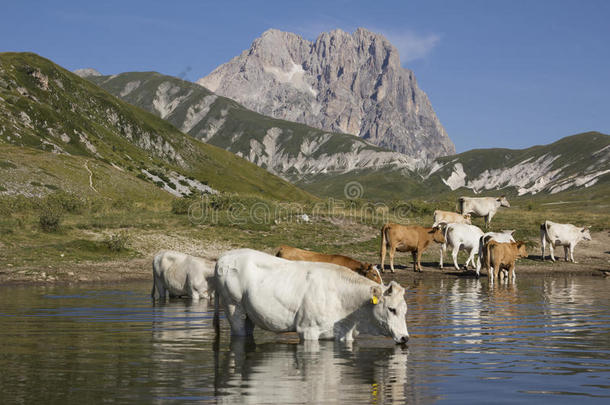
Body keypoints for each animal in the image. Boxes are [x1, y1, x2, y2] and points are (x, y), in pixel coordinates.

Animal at [211, 248, 406, 342]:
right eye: (391, 309)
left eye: (405, 311)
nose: (405, 338)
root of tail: (224, 257)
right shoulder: (308, 330)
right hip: (233, 306)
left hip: (249, 314)